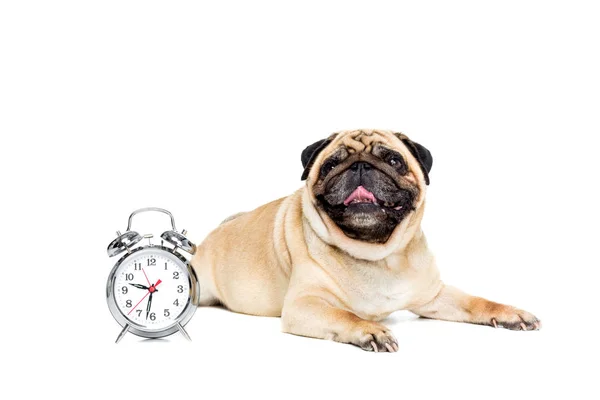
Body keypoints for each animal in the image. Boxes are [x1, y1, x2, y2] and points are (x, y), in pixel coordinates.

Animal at [192, 130, 540, 352]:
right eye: (331, 165)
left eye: (394, 161)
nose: (360, 166)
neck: (378, 255)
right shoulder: (306, 304)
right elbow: (343, 315)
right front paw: (369, 330)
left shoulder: (434, 296)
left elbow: (476, 302)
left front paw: (510, 313)